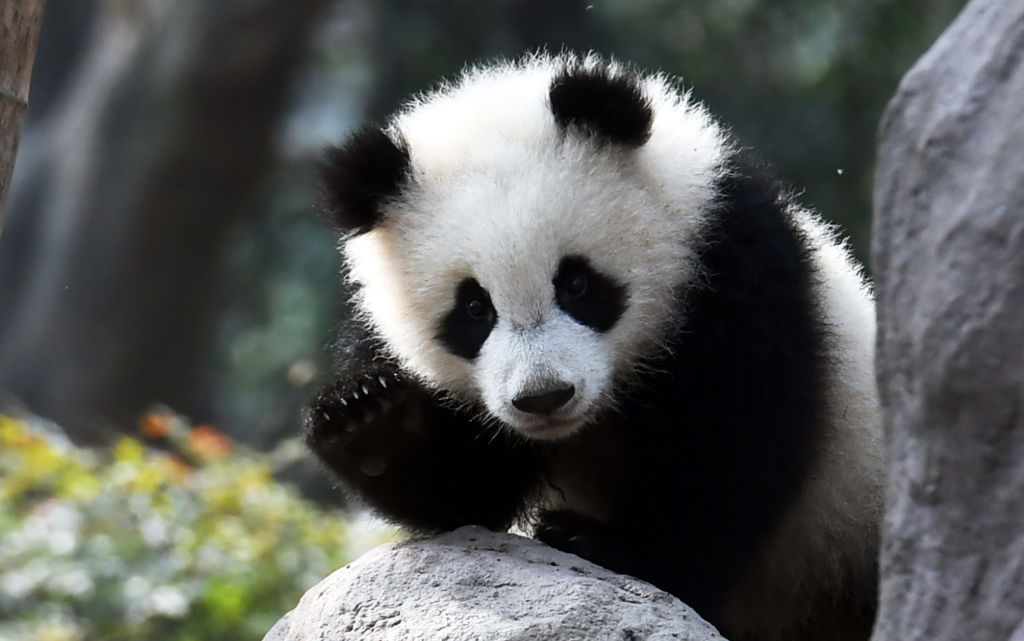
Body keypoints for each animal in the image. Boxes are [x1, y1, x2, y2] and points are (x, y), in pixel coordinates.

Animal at [304, 52, 883, 641]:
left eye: (577, 284)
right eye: (474, 309)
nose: (543, 397)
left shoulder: (732, 271)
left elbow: (729, 447)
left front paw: (607, 547)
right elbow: (467, 496)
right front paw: (371, 419)